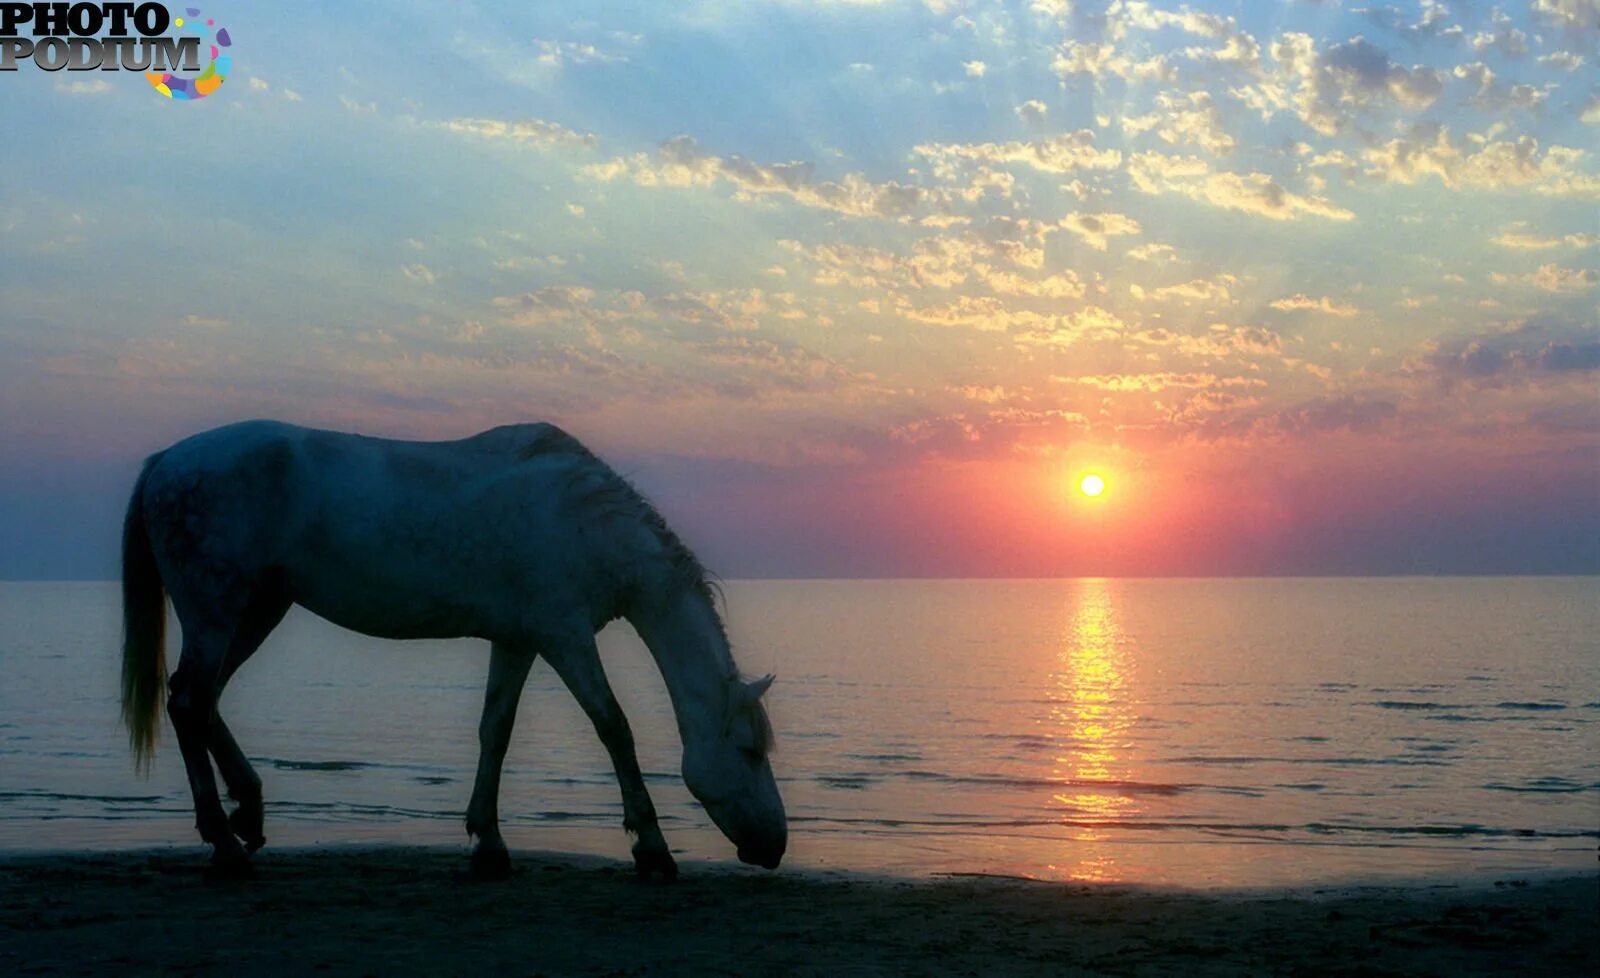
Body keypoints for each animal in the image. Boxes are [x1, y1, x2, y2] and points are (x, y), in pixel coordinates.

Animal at [116, 419, 780, 877]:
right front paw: (652, 846)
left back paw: (247, 814)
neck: (582, 520)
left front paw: (489, 843)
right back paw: (225, 842)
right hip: (217, 610)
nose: (776, 846)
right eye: (749, 751)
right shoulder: (564, 637)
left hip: (256, 611)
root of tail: (167, 460)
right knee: (189, 702)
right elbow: (614, 728)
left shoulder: (517, 641)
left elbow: (496, 731)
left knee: (204, 701)